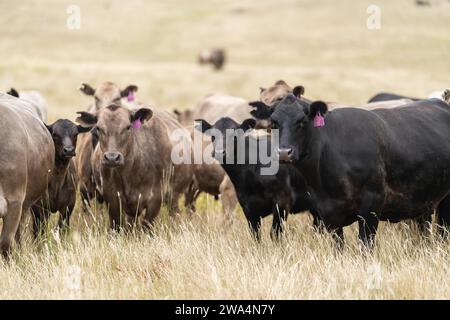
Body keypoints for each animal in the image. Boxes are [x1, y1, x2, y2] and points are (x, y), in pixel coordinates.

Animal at [251, 94, 450, 249]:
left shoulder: (372, 205)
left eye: (302, 121)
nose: (284, 152)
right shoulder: (328, 212)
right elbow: (338, 246)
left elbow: (365, 245)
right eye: (274, 122)